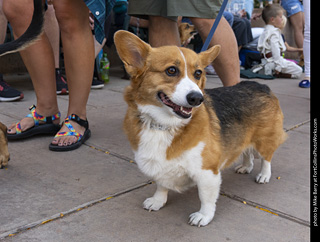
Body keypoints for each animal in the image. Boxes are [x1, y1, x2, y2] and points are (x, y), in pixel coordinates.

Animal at [114, 30, 286, 227]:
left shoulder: (207, 172)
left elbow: (206, 197)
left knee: (266, 158)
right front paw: (157, 201)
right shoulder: (161, 166)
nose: (197, 98)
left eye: (198, 73)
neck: (165, 124)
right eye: (171, 70)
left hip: (264, 139)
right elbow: (161, 185)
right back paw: (245, 166)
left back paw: (264, 175)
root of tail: (261, 85)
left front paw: (204, 216)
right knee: (246, 151)